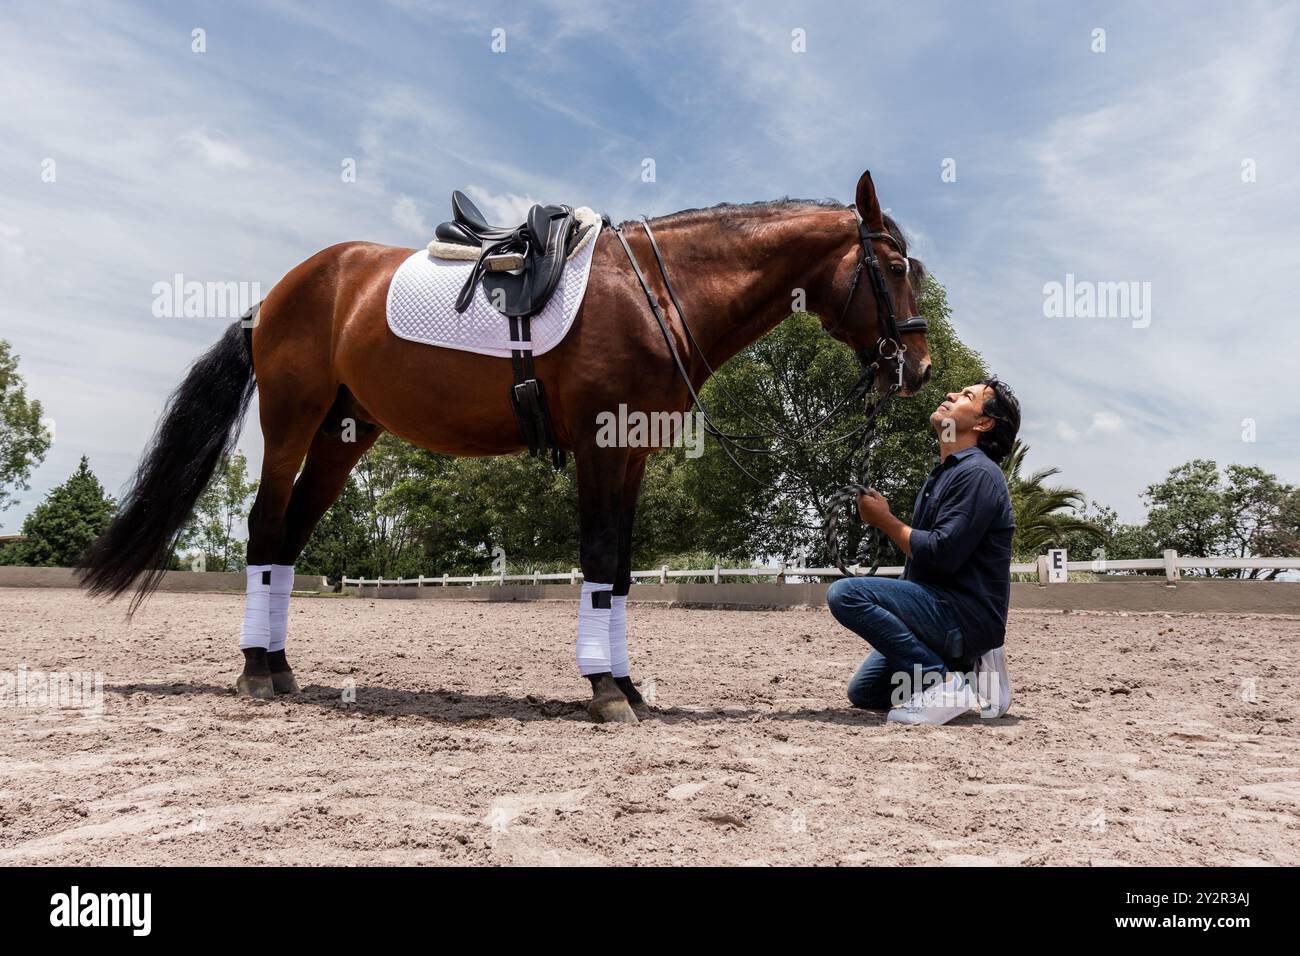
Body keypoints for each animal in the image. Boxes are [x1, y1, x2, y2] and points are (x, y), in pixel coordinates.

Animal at [77, 170, 932, 724]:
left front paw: (627, 685)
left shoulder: (631, 453)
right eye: (893, 267)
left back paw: (282, 668)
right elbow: (598, 561)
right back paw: (257, 671)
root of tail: (283, 292)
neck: (657, 294)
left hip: (342, 436)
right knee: (263, 530)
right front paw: (605, 692)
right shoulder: (599, 446)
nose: (919, 368)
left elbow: (621, 572)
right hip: (293, 422)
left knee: (288, 541)